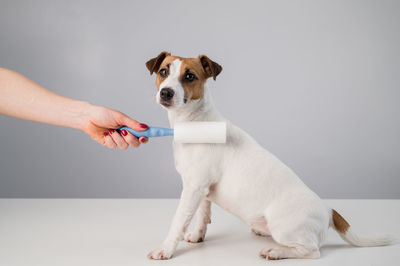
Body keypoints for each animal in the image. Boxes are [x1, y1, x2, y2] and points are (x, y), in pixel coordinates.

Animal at [145, 52, 394, 260]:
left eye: (189, 76)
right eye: (163, 71)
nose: (166, 92)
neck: (196, 122)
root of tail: (328, 210)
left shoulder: (193, 188)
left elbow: (179, 220)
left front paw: (165, 249)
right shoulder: (202, 189)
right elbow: (202, 215)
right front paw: (198, 236)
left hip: (283, 227)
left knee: (311, 251)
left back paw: (276, 251)